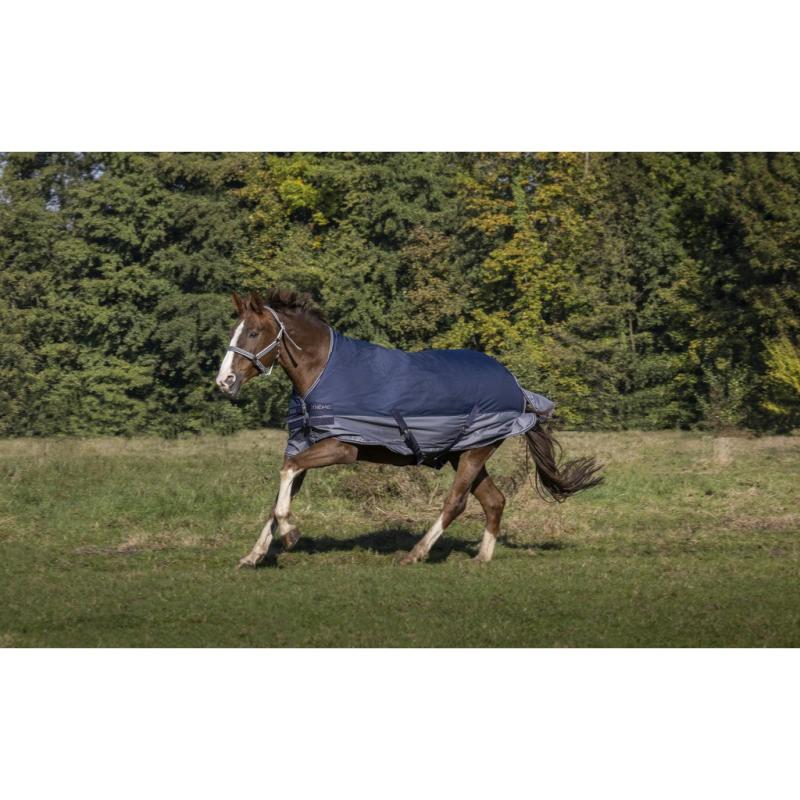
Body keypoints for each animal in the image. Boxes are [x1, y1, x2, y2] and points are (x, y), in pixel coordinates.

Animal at [216, 288, 602, 568]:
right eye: (234, 331)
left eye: (253, 332)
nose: (224, 382)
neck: (322, 371)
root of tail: (518, 389)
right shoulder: (304, 446)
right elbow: (281, 489)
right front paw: (254, 555)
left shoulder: (341, 448)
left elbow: (286, 474)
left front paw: (291, 532)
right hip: (464, 453)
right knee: (494, 501)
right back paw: (481, 557)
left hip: (474, 453)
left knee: (456, 502)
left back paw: (416, 553)